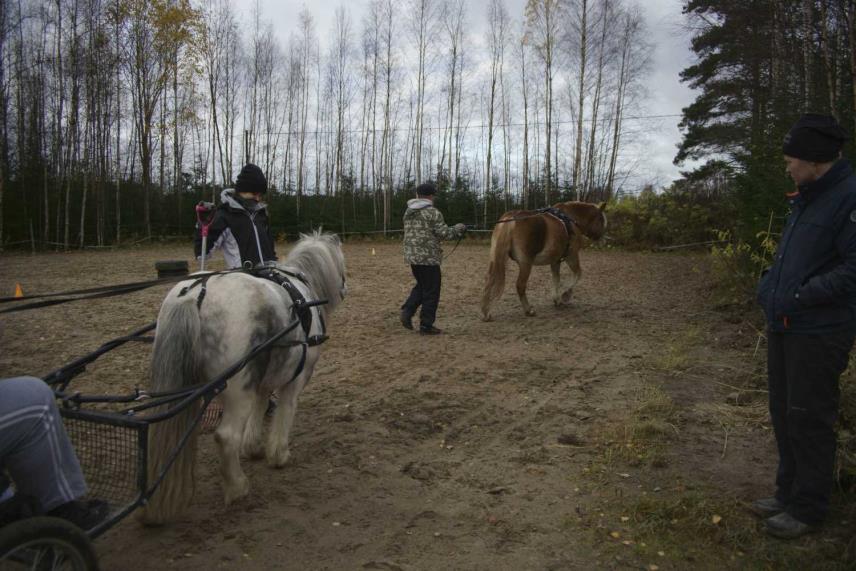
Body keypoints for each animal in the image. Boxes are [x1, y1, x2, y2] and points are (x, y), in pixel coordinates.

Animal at [139, 230, 346, 524]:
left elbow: (261, 406)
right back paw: (237, 487)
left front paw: (253, 447)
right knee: (226, 437)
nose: (343, 289)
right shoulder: (295, 380)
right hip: (238, 389)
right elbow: (285, 411)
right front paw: (278, 454)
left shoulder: (262, 380)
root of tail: (196, 293)